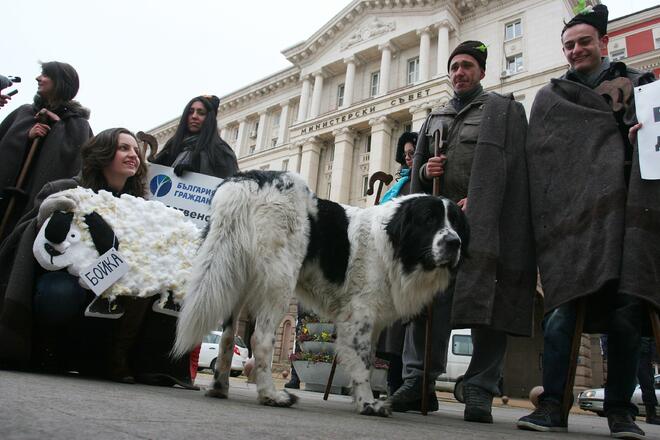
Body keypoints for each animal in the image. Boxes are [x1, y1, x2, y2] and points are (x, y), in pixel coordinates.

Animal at [173, 170, 466, 418]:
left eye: (456, 223)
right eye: (428, 220)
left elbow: (368, 362)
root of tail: (248, 180)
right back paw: (271, 395)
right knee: (260, 339)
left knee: (228, 336)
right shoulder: (359, 318)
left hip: (236, 278)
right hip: (279, 283)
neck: (390, 244)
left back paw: (220, 387)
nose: (455, 243)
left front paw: (361, 399)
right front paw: (368, 403)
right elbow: (362, 365)